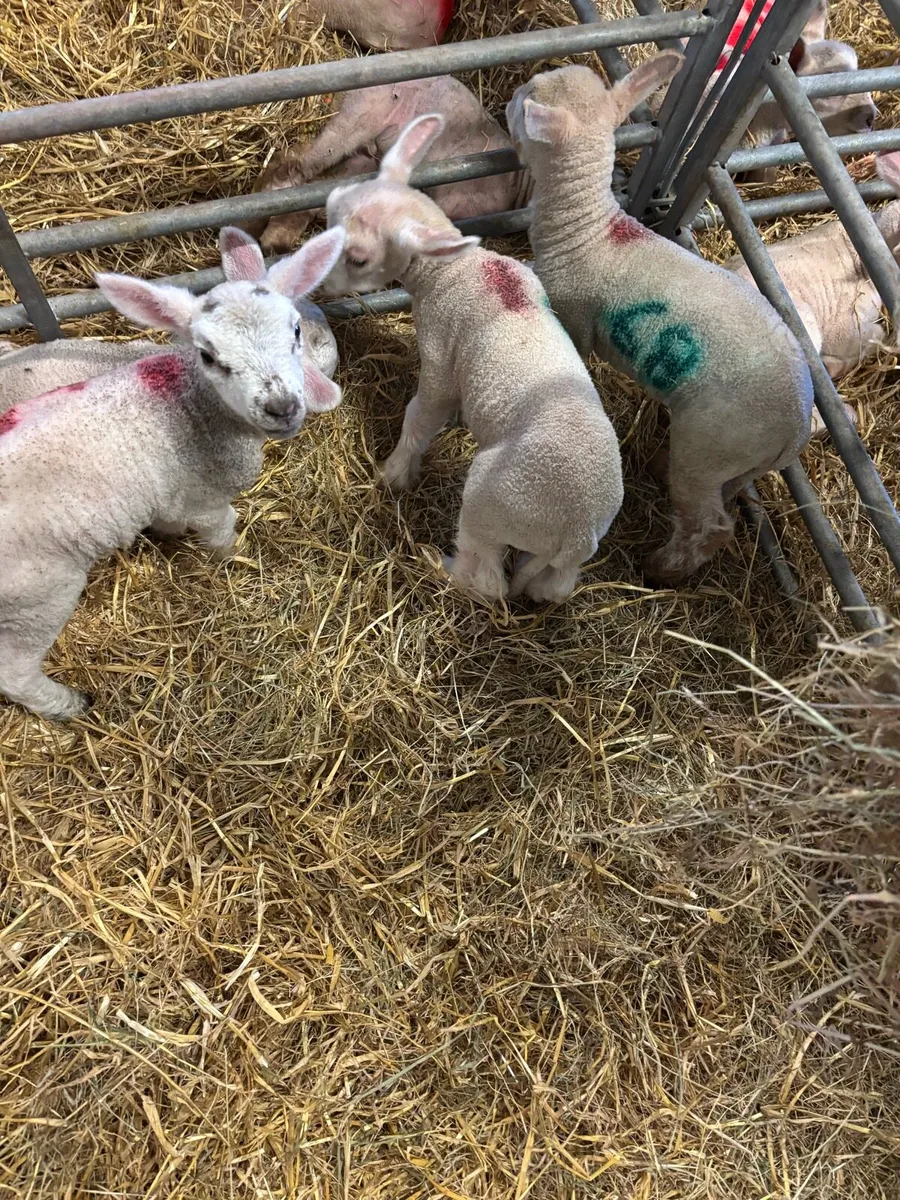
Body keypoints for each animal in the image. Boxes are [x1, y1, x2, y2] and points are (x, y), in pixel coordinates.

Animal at [0, 226, 345, 721]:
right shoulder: (205, 496)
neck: (192, 402)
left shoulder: (169, 497)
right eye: (208, 355)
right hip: (38, 593)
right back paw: (67, 703)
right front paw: (230, 561)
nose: (281, 406)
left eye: (294, 330)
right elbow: (222, 531)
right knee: (14, 671)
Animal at [246, 77, 525, 255]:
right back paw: (259, 231)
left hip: (365, 157)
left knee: (314, 189)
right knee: (293, 164)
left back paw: (270, 240)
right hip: (360, 115)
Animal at [323, 113, 624, 605]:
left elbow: (421, 415)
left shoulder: (439, 353)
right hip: (558, 556)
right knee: (553, 587)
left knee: (487, 581)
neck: (456, 269)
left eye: (359, 258)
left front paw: (395, 472)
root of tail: (577, 533)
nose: (318, 283)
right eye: (330, 203)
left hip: (491, 501)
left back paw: (436, 563)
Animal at [506, 51, 814, 586]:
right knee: (727, 492)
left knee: (711, 525)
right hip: (742, 462)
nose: (507, 101)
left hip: (712, 446)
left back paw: (661, 569)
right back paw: (656, 468)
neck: (586, 228)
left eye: (529, 97)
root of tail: (796, 429)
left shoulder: (574, 316)